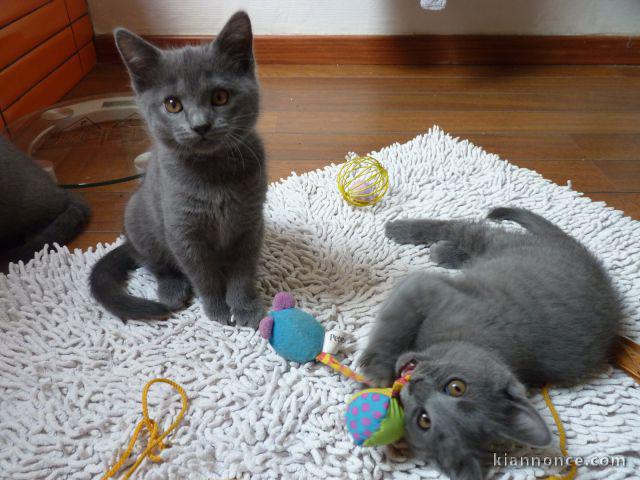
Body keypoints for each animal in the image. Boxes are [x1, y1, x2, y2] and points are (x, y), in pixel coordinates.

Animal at [90, 12, 264, 326]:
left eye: (220, 97)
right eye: (172, 104)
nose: (200, 125)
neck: (213, 174)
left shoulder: (250, 223)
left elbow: (243, 272)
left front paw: (245, 307)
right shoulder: (183, 232)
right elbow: (204, 275)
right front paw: (217, 309)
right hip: (139, 219)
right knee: (154, 263)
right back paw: (172, 288)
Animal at [362, 207, 624, 480]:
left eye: (423, 420)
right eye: (456, 387)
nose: (416, 386)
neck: (469, 340)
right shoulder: (429, 289)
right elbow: (395, 322)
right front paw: (376, 371)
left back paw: (442, 251)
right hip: (494, 243)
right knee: (467, 229)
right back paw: (401, 229)